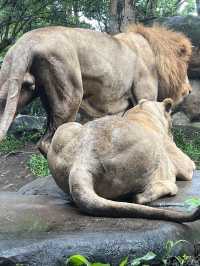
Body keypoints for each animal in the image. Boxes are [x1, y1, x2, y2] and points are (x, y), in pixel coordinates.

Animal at [0, 24, 191, 156]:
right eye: (186, 67)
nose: (189, 90)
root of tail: (27, 40)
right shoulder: (146, 97)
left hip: (14, 86)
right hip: (70, 95)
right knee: (48, 142)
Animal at [47, 98, 198, 221]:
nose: (172, 135)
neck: (142, 113)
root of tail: (83, 160)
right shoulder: (183, 162)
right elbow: (190, 165)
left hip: (66, 129)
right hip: (148, 155)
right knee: (142, 196)